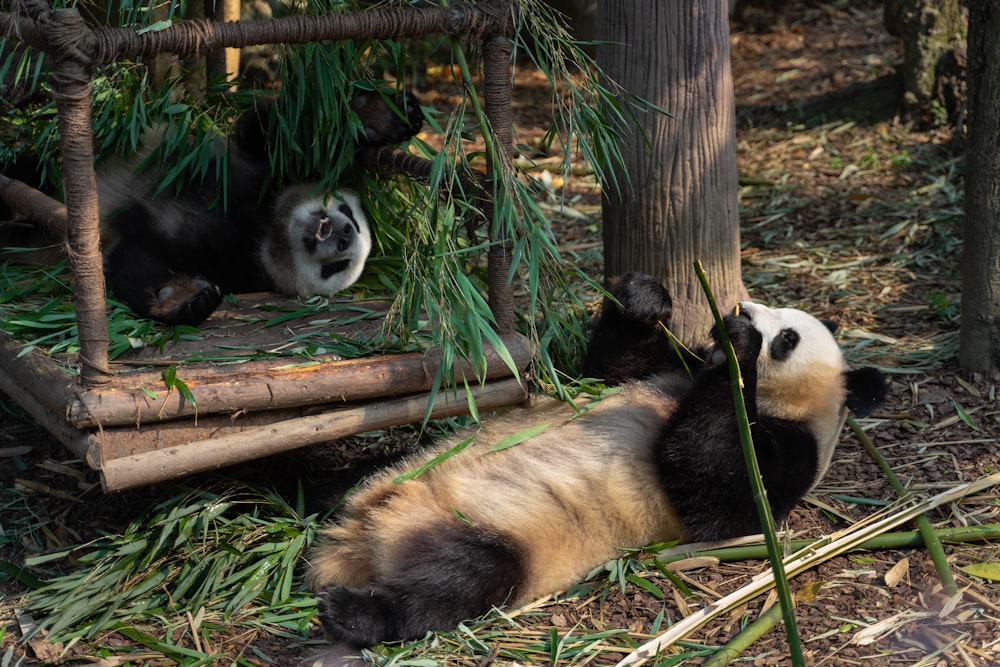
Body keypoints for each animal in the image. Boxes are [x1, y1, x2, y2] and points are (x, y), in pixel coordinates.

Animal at [92, 90, 424, 328]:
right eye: (350, 213)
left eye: (338, 266)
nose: (344, 234)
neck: (268, 229)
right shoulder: (249, 169)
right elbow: (289, 131)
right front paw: (387, 116)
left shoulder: (234, 266)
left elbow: (135, 266)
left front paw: (183, 298)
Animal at [304, 272, 892, 648]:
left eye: (788, 338)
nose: (741, 309)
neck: (786, 405)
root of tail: (358, 539)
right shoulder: (665, 369)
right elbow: (608, 369)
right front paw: (647, 299)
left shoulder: (789, 456)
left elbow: (714, 491)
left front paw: (738, 347)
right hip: (396, 471)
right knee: (343, 483)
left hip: (498, 531)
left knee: (462, 580)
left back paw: (352, 614)